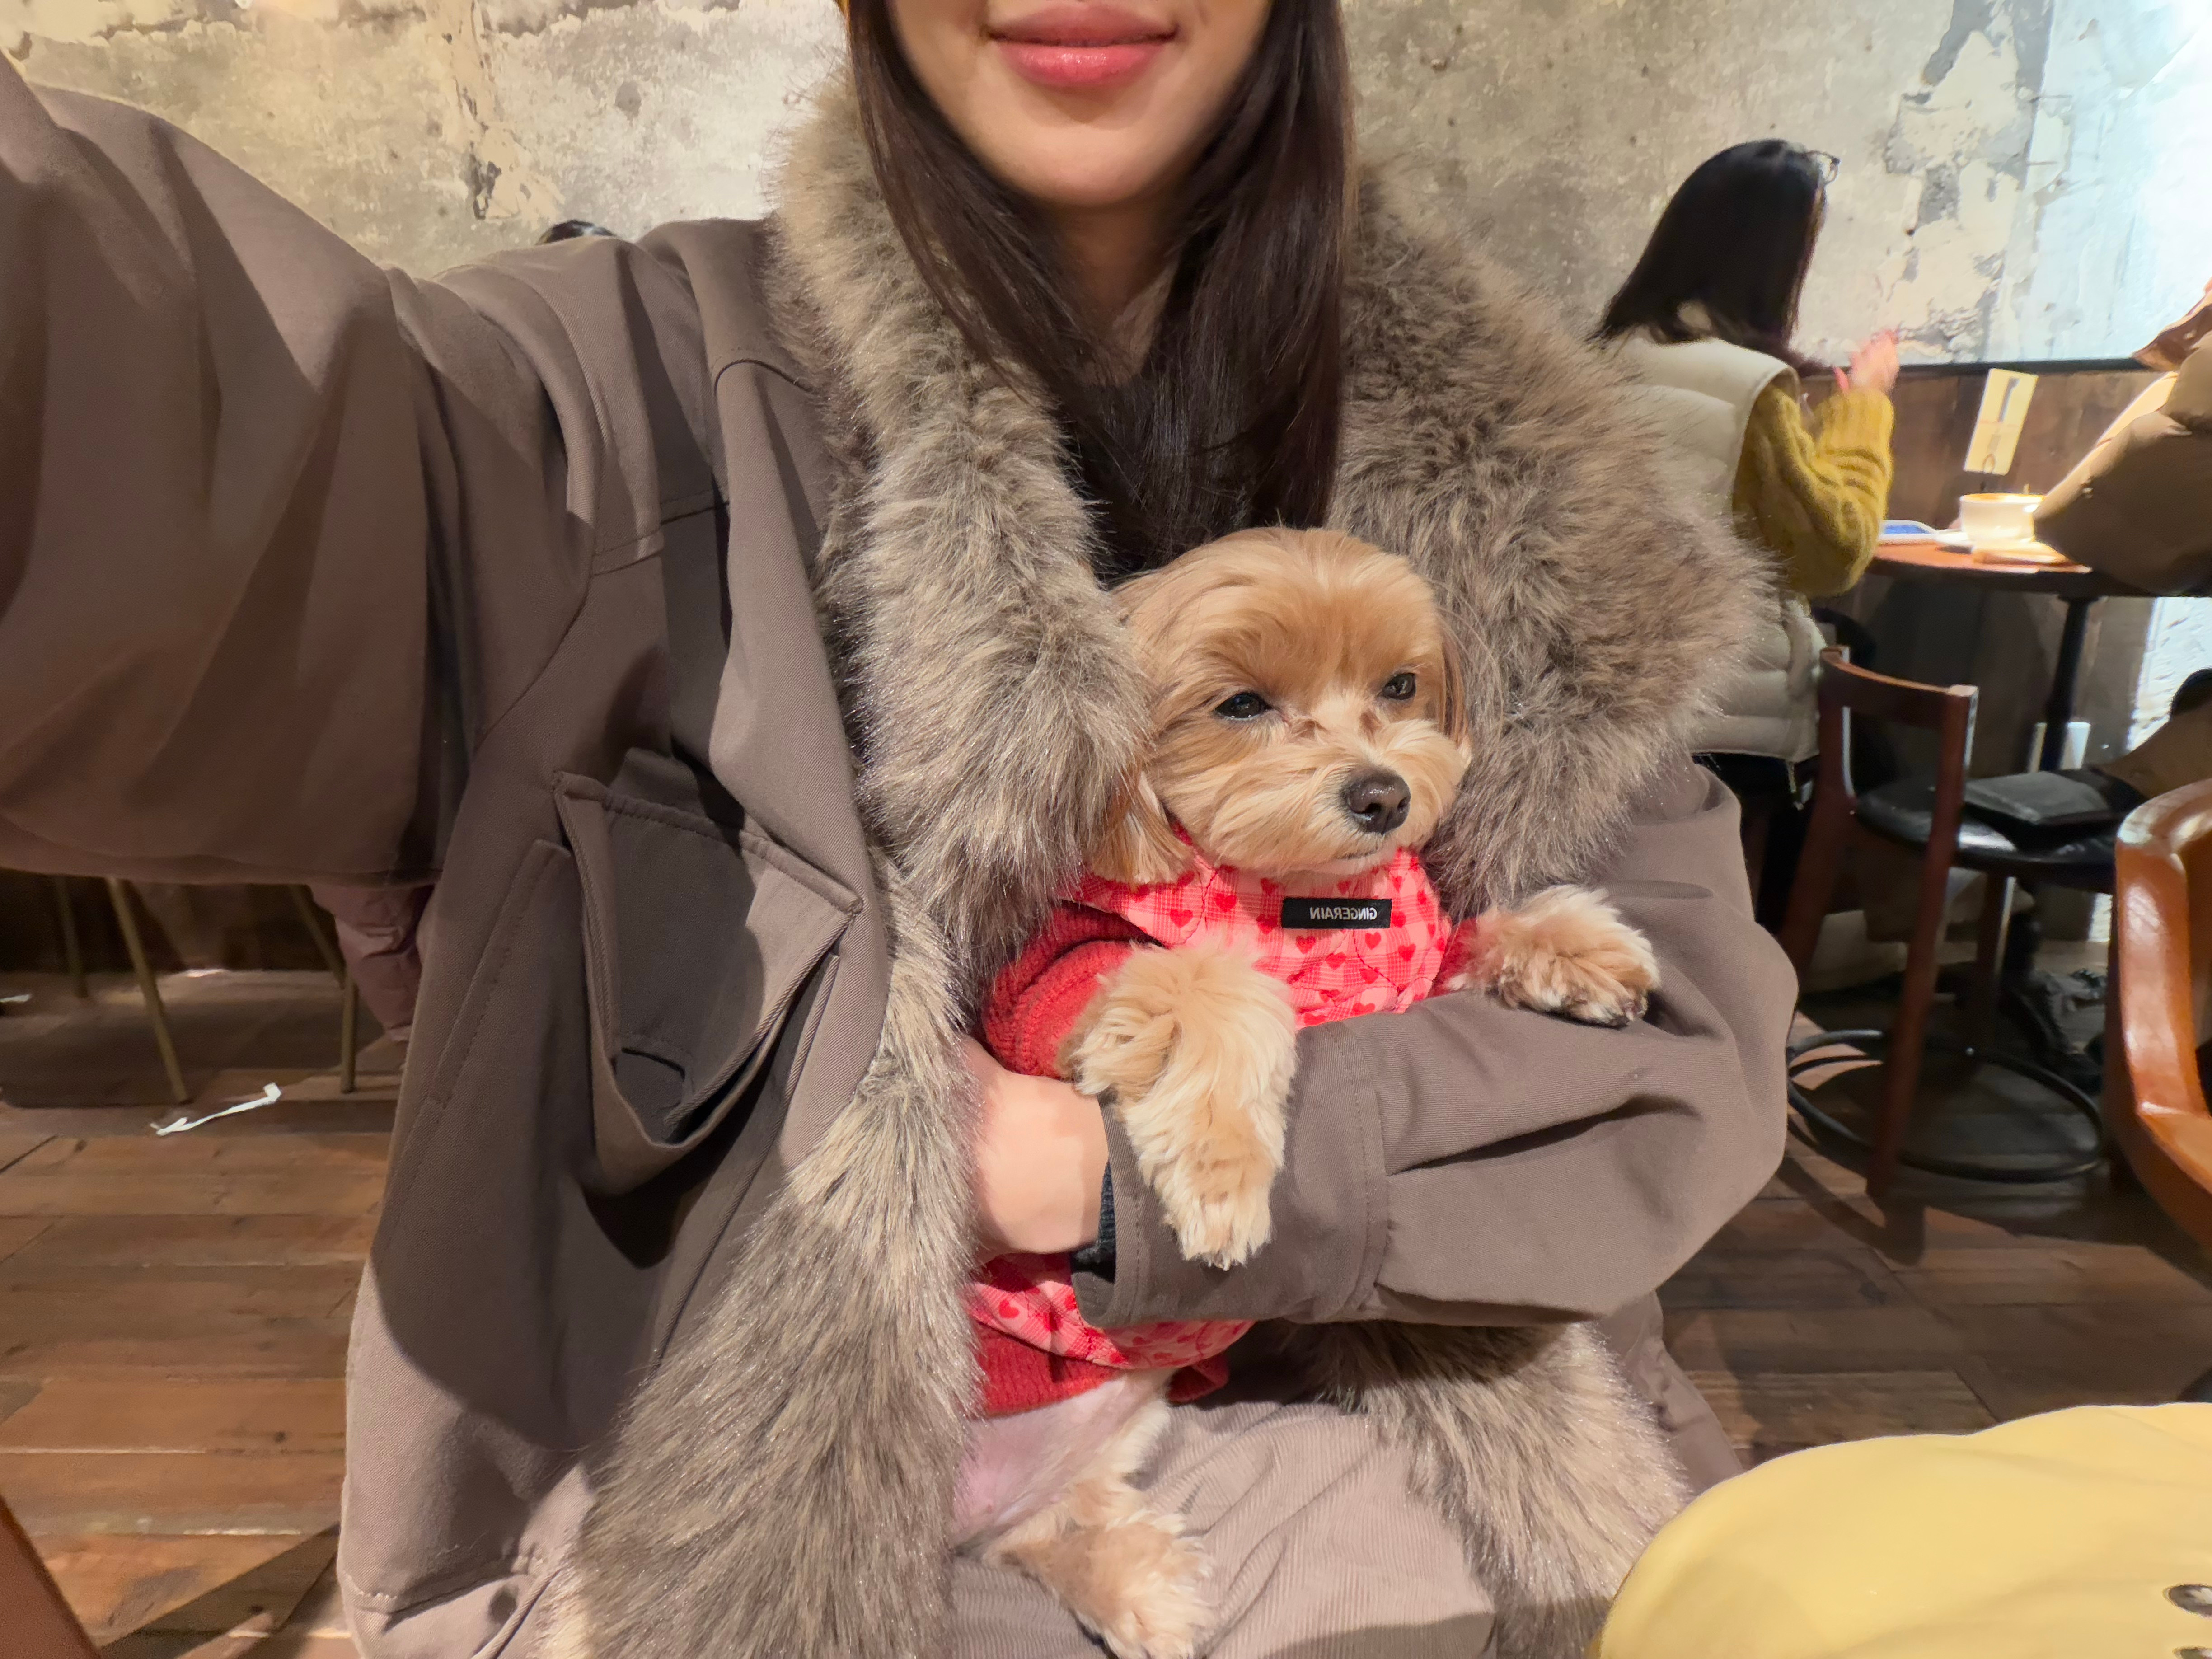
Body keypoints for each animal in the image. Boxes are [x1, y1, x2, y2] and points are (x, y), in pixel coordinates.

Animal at [957, 527, 1661, 1658]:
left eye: (1401, 685)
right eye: (1242, 705)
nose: (1382, 797)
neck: (1305, 904)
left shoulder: (1409, 973)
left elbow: (1469, 937)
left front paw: (1572, 948)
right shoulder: (1070, 993)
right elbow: (1217, 986)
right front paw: (1222, 1178)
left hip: (1126, 1423)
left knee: (1044, 1526)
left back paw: (1142, 1586)